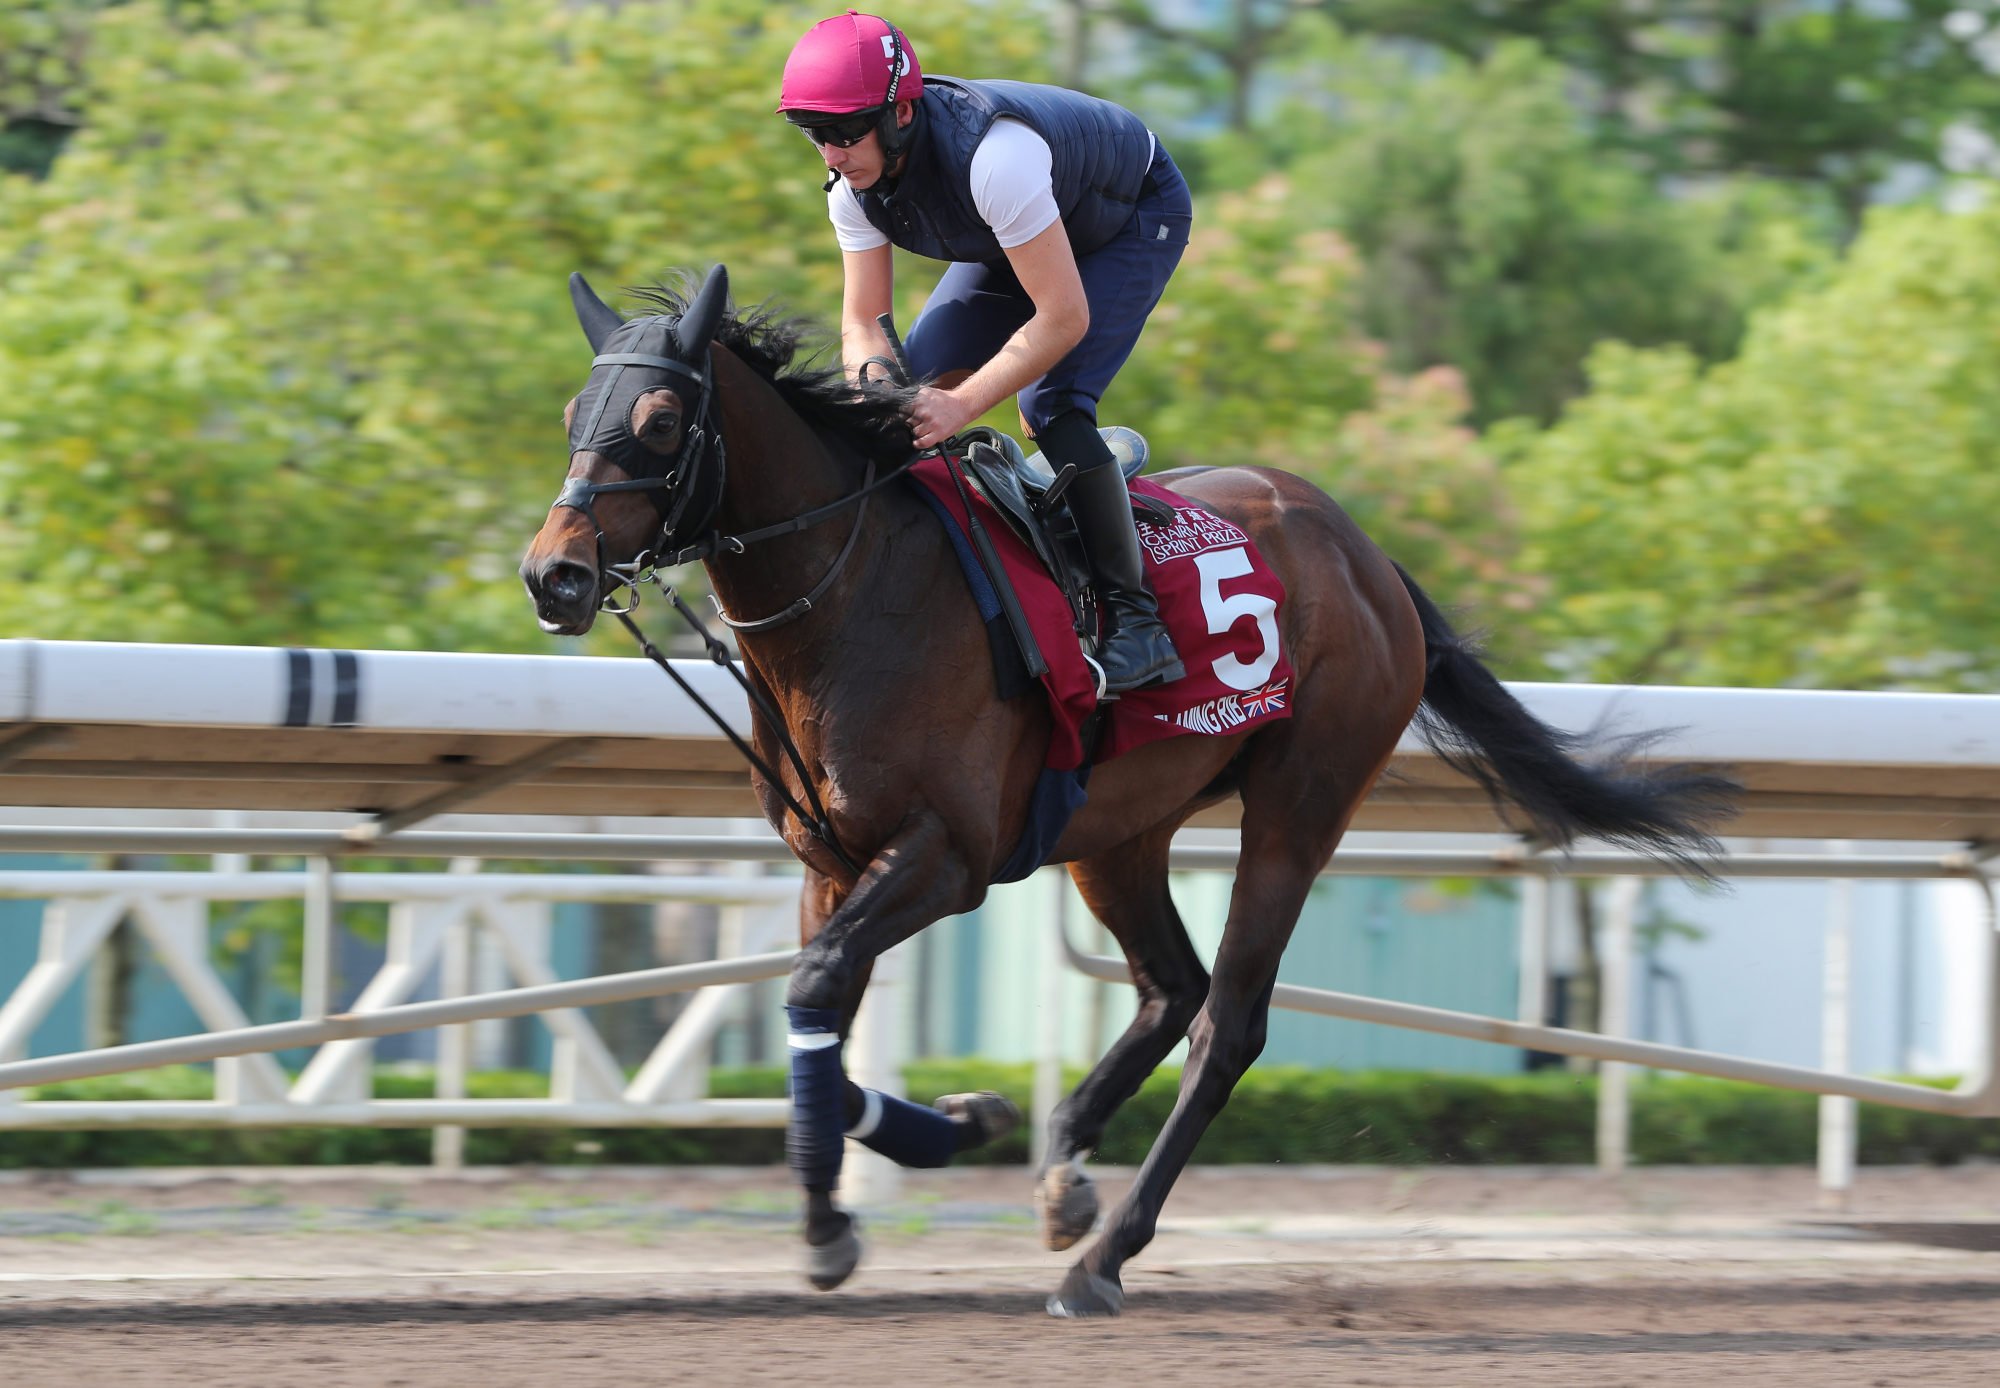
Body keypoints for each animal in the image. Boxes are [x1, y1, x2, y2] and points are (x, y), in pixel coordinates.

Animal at [520, 266, 1736, 1320]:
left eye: (660, 423)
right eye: (576, 408)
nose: (554, 575)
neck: (856, 592)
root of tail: (1367, 554)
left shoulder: (947, 855)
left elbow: (818, 986)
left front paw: (839, 1217)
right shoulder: (833, 858)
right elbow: (816, 1005)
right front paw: (947, 1133)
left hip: (1300, 804)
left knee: (1227, 1021)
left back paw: (1102, 1257)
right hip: (1117, 829)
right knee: (1169, 986)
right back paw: (1065, 1174)